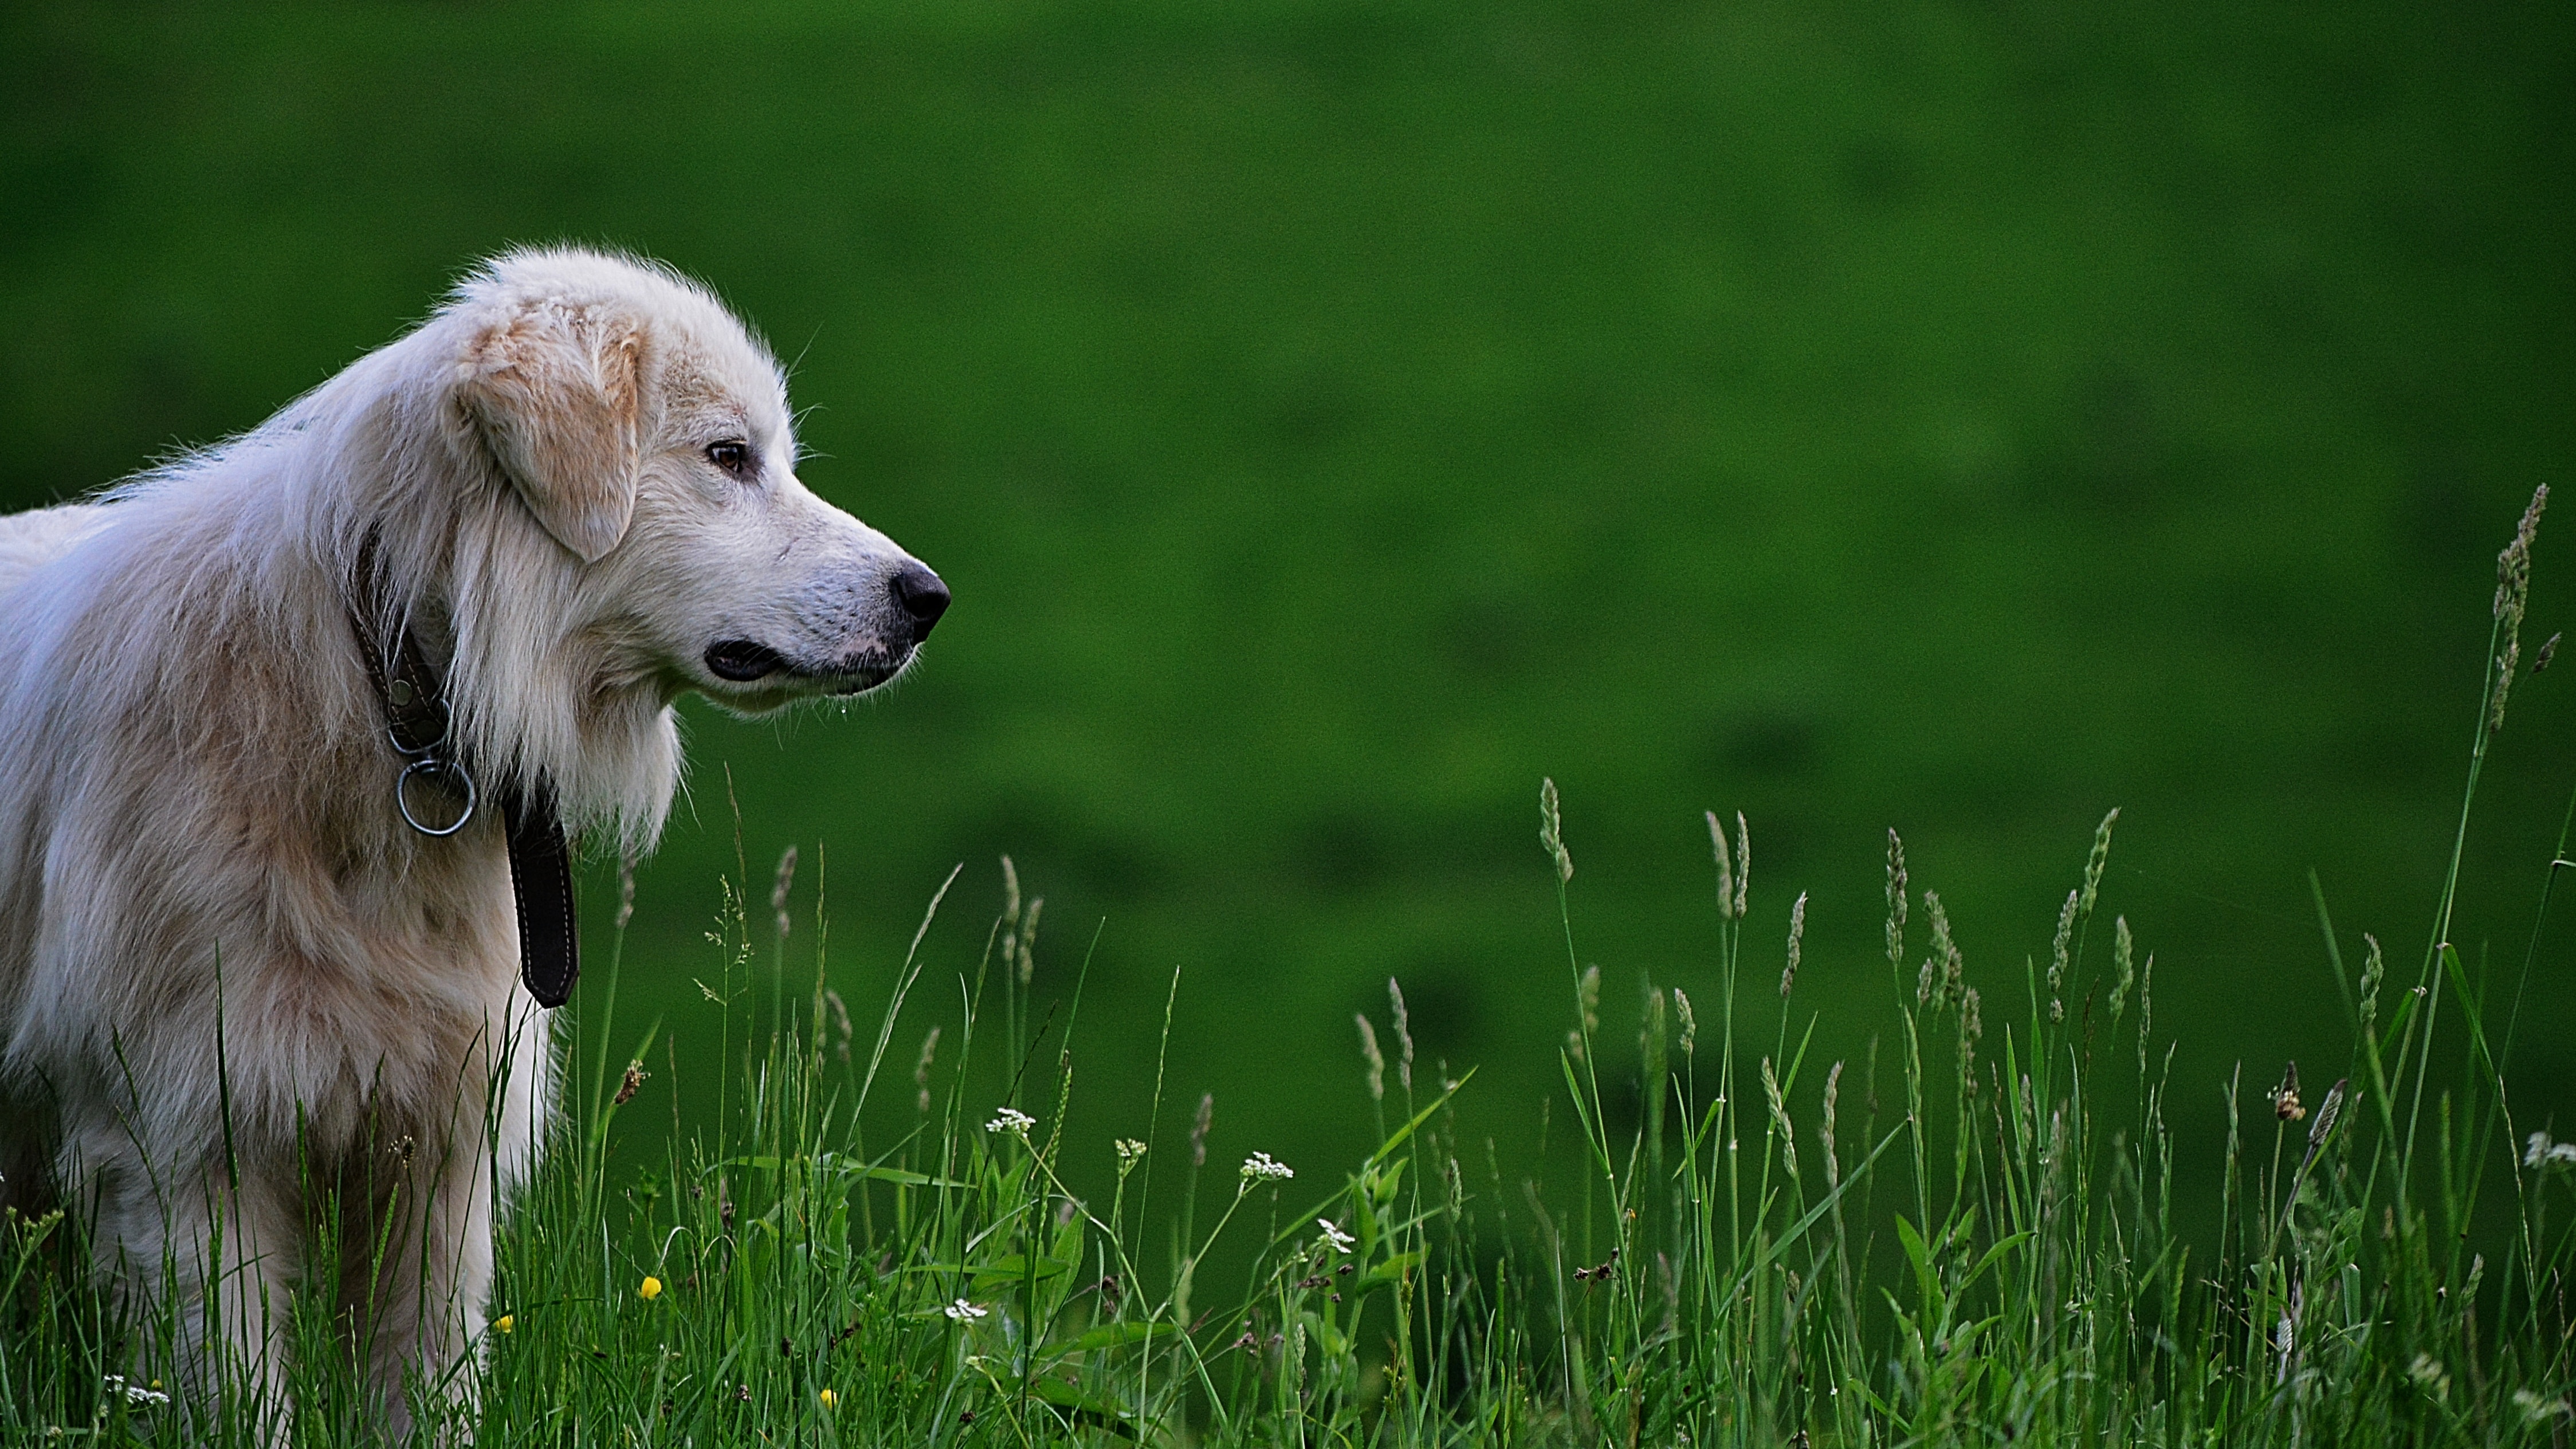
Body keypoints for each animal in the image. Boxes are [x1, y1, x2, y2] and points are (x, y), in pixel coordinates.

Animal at [0, 245, 948, 1423]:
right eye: (729, 457)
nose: (929, 598)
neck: (381, 689)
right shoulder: (183, 1152)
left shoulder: (443, 1149)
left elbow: (430, 1386)